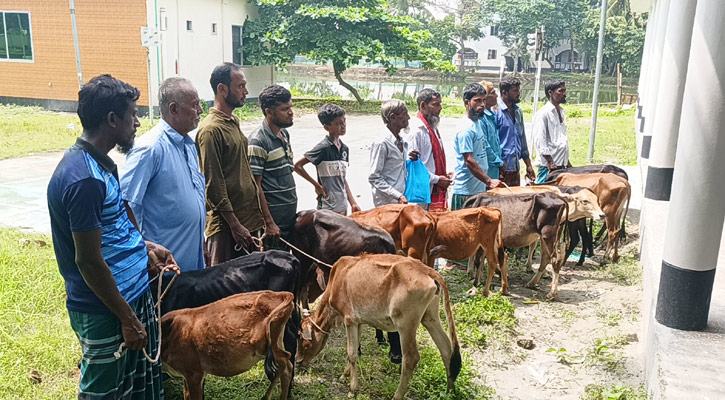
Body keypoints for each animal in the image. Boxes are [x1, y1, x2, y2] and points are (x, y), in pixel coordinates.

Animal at [161, 290, 294, 400]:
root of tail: (281, 294)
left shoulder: (194, 373)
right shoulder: (186, 376)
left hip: (266, 343)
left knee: (284, 360)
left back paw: (265, 397)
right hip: (277, 340)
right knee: (288, 366)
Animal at [296, 255, 460, 400]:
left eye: (305, 342)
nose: (298, 361)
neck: (338, 278)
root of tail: (428, 270)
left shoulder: (349, 320)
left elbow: (351, 353)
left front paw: (352, 389)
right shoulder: (358, 322)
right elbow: (356, 350)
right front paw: (344, 375)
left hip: (406, 324)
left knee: (411, 359)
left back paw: (397, 395)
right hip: (430, 318)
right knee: (447, 351)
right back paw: (449, 391)